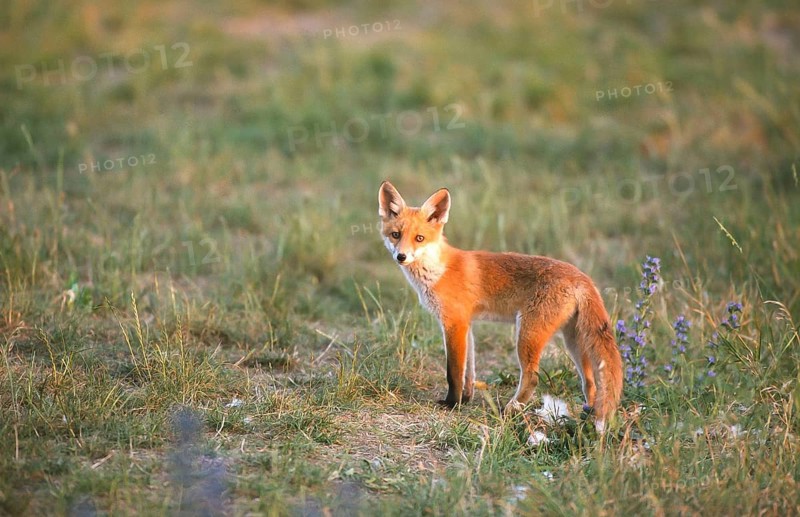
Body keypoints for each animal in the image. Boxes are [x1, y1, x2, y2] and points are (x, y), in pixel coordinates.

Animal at [378, 181, 623, 432]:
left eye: (419, 238)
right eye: (396, 235)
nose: (401, 256)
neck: (437, 270)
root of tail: (582, 276)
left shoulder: (454, 323)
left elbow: (453, 372)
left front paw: (452, 404)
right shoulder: (467, 324)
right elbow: (469, 371)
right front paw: (466, 399)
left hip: (527, 334)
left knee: (533, 376)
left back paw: (512, 409)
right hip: (572, 340)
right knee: (591, 381)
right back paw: (587, 415)